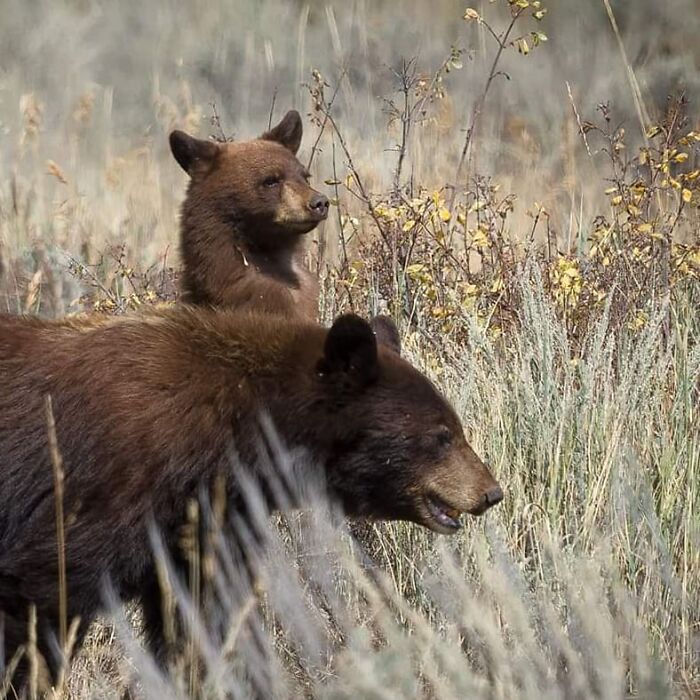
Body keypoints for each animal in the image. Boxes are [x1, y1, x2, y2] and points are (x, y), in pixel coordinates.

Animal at [0, 307, 502, 691]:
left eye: (454, 428)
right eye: (441, 435)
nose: (490, 492)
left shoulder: (206, 519)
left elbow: (203, 613)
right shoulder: (108, 489)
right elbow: (45, 593)